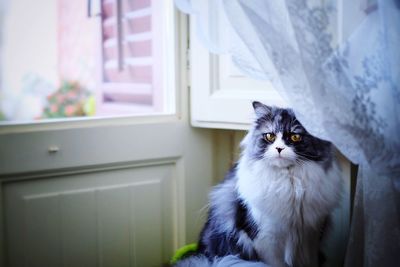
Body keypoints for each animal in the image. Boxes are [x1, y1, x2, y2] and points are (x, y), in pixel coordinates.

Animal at [177, 102, 342, 267]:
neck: (289, 183)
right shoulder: (266, 237)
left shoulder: (311, 236)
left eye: (295, 136)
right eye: (270, 136)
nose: (279, 149)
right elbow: (275, 263)